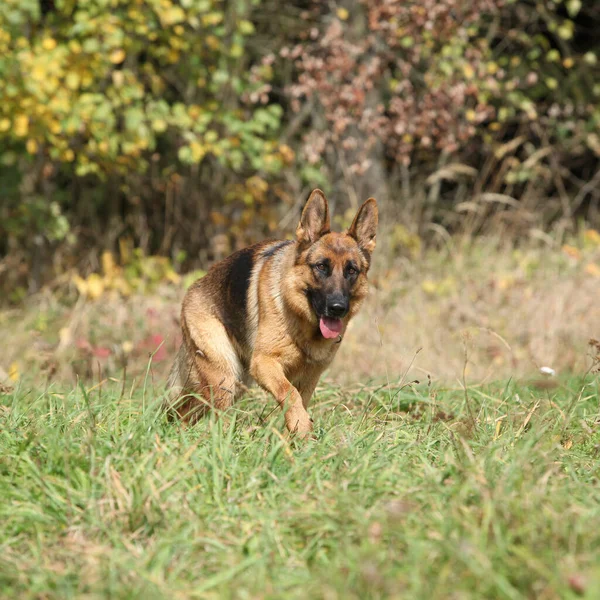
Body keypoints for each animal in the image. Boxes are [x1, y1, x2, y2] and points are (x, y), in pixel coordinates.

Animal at [164, 191, 378, 436]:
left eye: (351, 271)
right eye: (321, 267)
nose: (337, 307)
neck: (302, 323)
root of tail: (194, 287)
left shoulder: (308, 379)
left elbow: (297, 403)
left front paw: (295, 438)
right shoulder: (265, 364)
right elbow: (289, 394)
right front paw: (302, 428)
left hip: (234, 382)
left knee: (186, 413)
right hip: (224, 379)